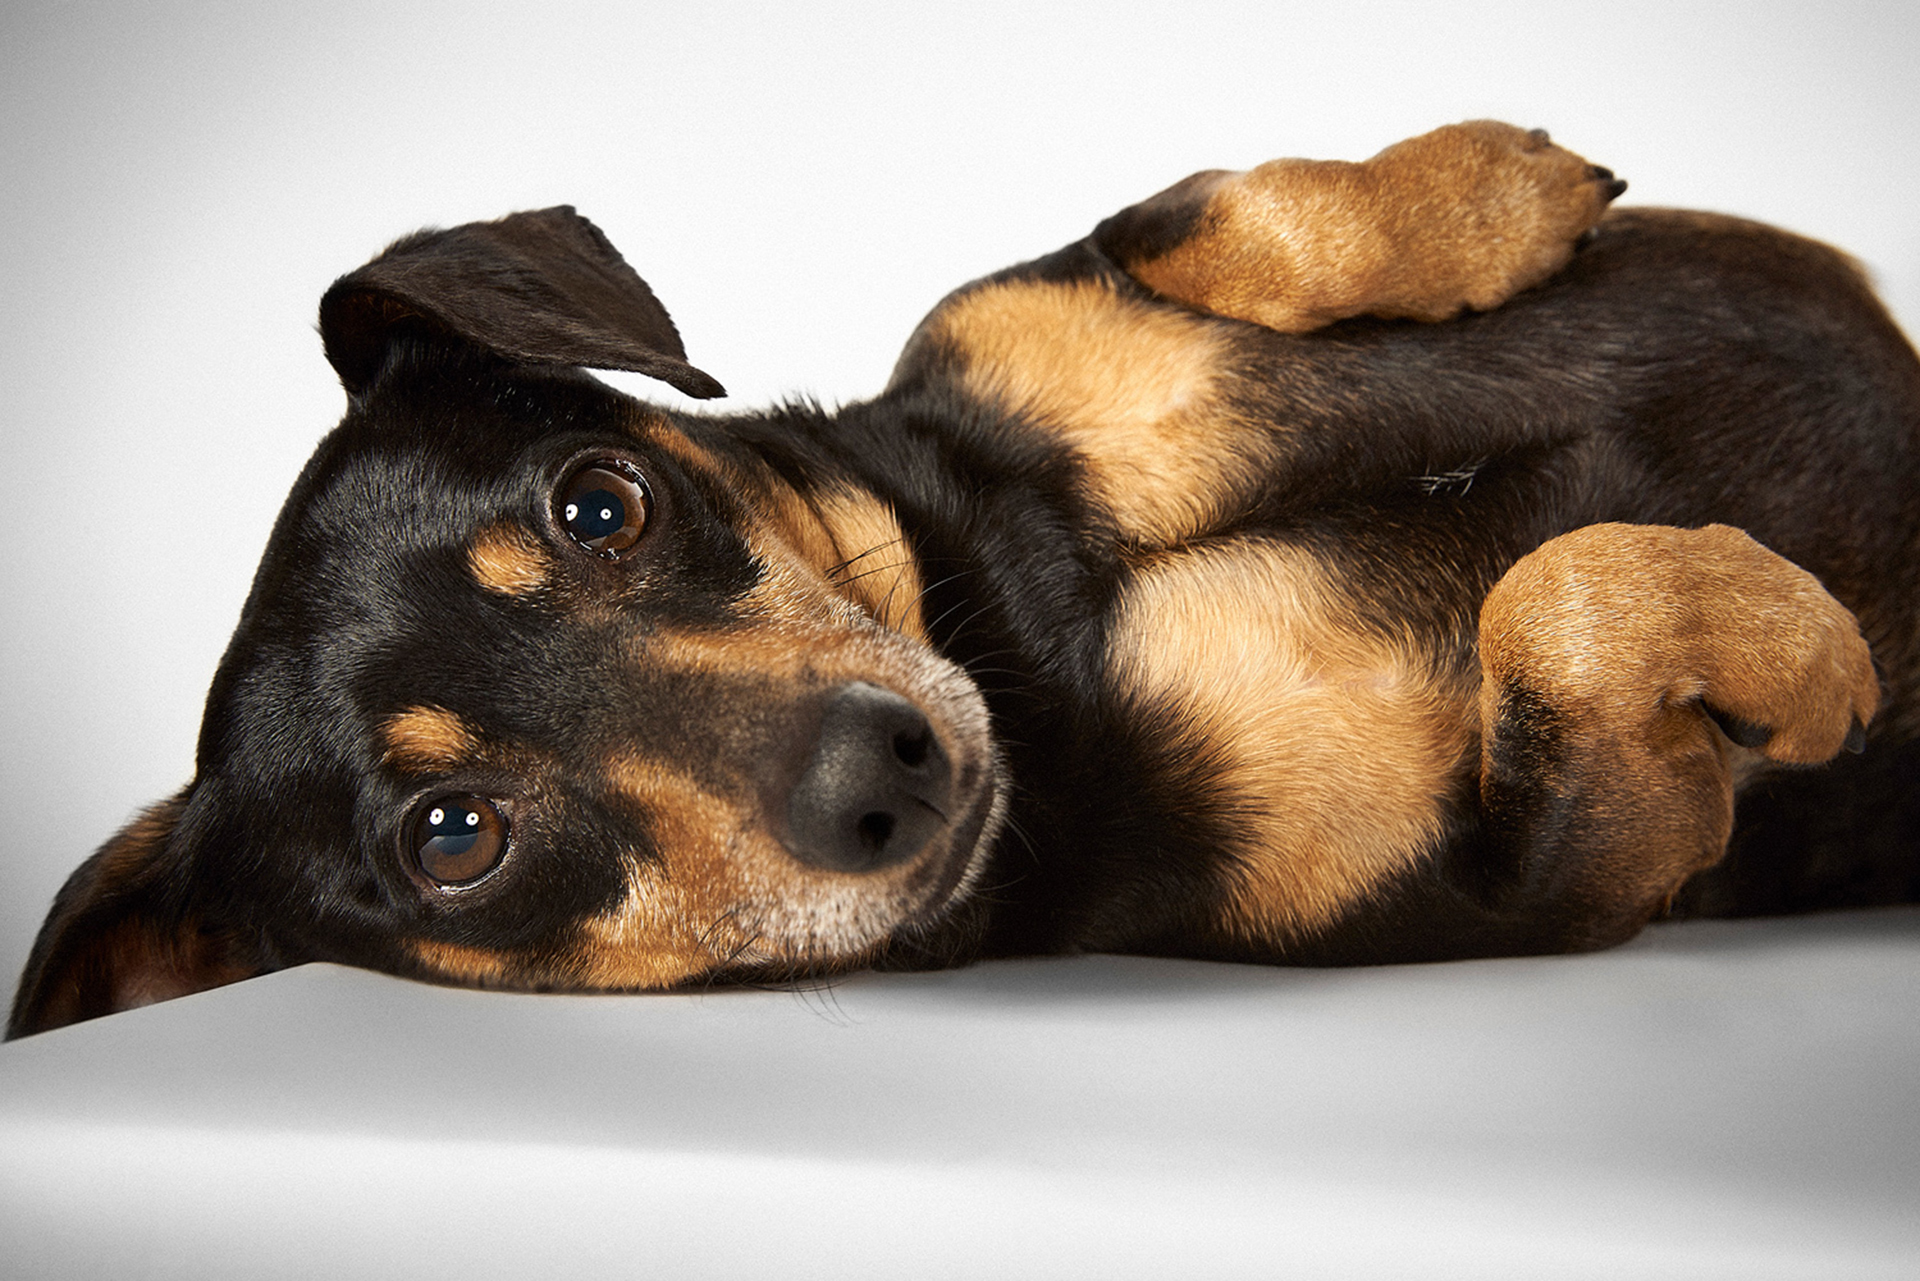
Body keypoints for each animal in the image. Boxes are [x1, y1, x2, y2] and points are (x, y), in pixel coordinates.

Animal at [7, 122, 1912, 1044]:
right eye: (453, 838)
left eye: (600, 502)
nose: (883, 770)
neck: (1021, 622)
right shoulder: (1558, 877)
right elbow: (1562, 608)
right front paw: (1804, 646)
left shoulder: (1021, 316)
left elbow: (1213, 213)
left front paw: (1495, 187)